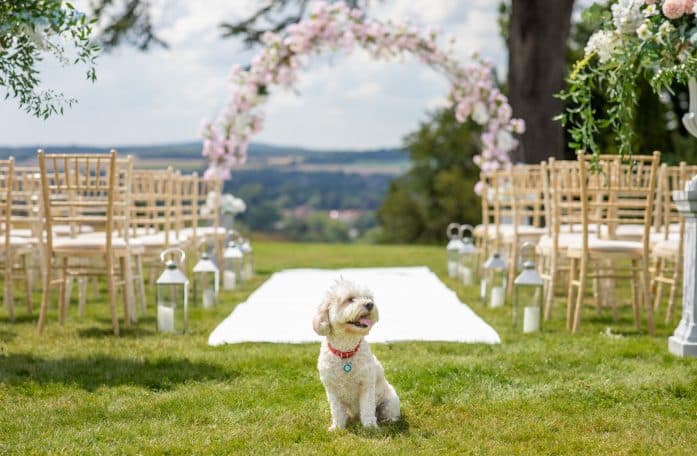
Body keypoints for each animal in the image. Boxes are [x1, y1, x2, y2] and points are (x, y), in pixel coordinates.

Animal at [312, 278, 400, 432]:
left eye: (368, 298)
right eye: (350, 299)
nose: (370, 304)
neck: (346, 351)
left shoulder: (366, 385)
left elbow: (367, 408)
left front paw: (370, 427)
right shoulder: (331, 389)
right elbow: (336, 410)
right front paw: (337, 427)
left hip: (390, 400)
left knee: (389, 413)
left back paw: (389, 421)